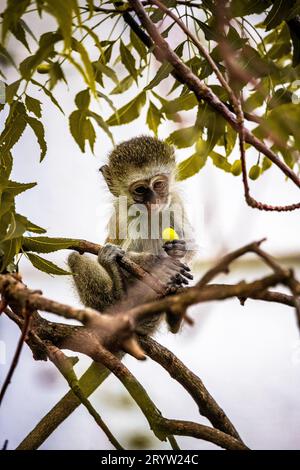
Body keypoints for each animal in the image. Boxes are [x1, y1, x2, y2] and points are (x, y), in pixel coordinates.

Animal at [67, 134, 197, 336]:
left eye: (159, 184)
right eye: (140, 190)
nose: (154, 201)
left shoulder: (175, 201)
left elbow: (190, 245)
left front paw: (177, 251)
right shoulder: (123, 214)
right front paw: (156, 263)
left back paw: (174, 313)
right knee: (75, 258)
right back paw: (117, 295)